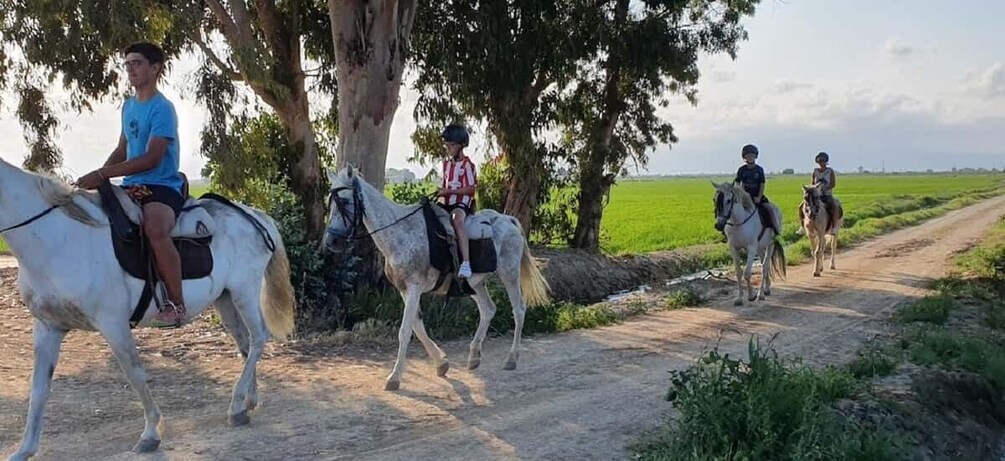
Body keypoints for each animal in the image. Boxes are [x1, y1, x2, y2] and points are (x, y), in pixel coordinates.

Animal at [1, 156, 293, 459]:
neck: (58, 239)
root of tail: (254, 215)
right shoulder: (48, 327)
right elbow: (38, 388)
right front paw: (24, 449)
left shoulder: (113, 324)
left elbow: (135, 373)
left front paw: (151, 433)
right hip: (224, 299)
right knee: (245, 343)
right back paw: (247, 402)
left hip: (244, 291)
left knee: (259, 338)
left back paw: (236, 405)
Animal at [323, 165, 550, 389]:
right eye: (330, 202)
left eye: (344, 201)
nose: (331, 241)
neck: (400, 232)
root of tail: (508, 220)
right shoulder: (405, 290)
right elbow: (418, 327)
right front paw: (441, 363)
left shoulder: (414, 288)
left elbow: (405, 331)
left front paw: (394, 377)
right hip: (474, 284)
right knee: (488, 309)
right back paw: (474, 357)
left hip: (509, 273)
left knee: (518, 310)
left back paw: (511, 359)